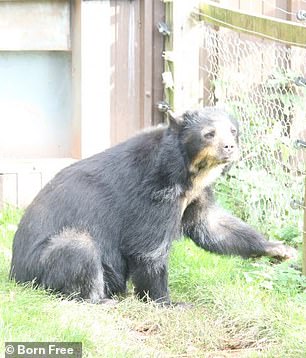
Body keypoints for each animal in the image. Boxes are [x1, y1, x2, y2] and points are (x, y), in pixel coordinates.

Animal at [9, 107, 296, 304]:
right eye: (209, 134)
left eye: (233, 130)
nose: (229, 147)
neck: (187, 172)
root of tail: (14, 275)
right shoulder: (155, 194)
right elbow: (149, 248)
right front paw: (168, 302)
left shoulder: (194, 196)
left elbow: (212, 226)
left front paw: (282, 250)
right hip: (44, 263)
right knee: (78, 249)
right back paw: (101, 300)